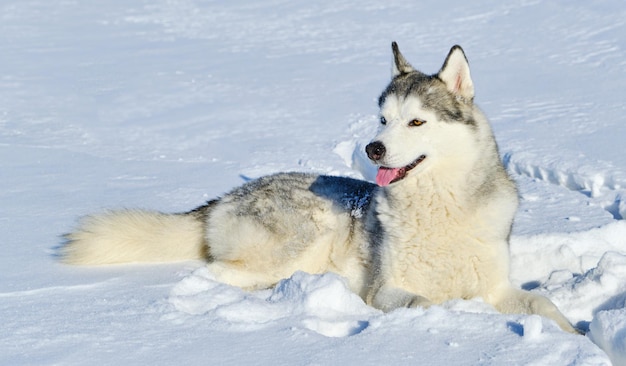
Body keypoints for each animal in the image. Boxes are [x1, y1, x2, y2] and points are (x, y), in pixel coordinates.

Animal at [62, 43, 576, 334]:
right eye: (383, 119)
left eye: (416, 122)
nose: (372, 148)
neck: (439, 210)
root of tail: (224, 198)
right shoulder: (386, 291)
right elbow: (423, 301)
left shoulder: (498, 286)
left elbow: (543, 303)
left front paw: (573, 336)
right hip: (299, 240)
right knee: (215, 276)